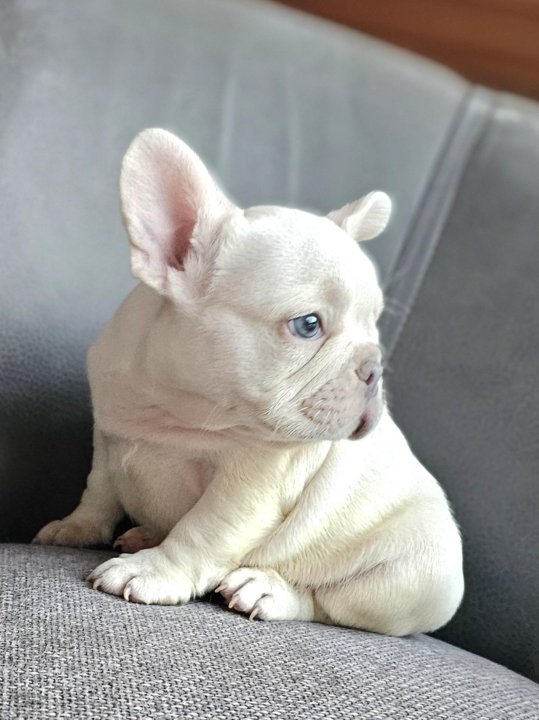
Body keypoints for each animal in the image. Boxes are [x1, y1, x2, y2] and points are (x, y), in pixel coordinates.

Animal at [34, 129, 464, 635]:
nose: (373, 367)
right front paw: (77, 528)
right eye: (308, 325)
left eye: (373, 325)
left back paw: (266, 589)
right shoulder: (108, 436)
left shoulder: (248, 486)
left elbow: (203, 530)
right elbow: (98, 491)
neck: (177, 406)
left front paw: (154, 571)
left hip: (409, 573)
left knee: (328, 603)